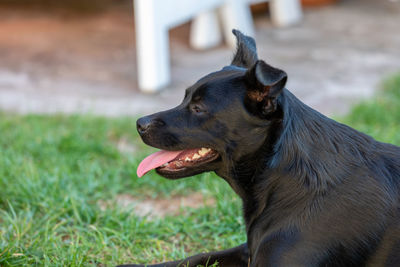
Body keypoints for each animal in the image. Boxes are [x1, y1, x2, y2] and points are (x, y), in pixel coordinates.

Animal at [123, 30, 398, 266]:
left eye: (198, 108)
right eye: (185, 98)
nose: (139, 124)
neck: (280, 178)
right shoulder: (248, 250)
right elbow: (197, 257)